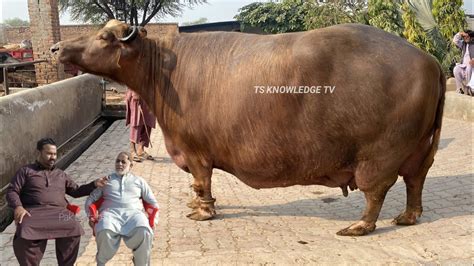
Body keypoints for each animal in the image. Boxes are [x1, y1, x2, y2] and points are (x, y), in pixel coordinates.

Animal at [51, 21, 444, 237]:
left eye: (105, 37)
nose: (56, 47)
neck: (161, 69)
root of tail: (429, 59)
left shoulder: (196, 151)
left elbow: (202, 182)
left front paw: (202, 210)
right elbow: (198, 185)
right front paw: (196, 204)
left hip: (379, 154)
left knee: (376, 191)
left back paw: (359, 226)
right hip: (420, 149)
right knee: (415, 181)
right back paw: (407, 217)